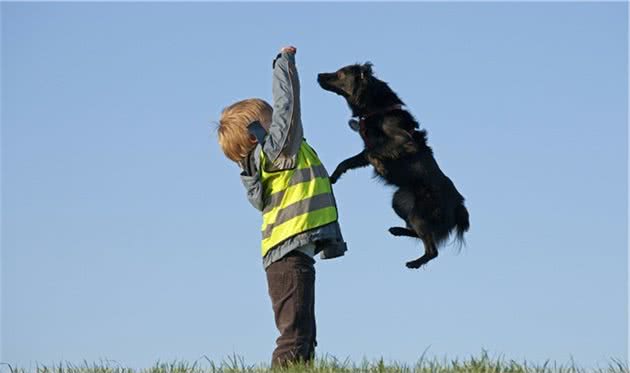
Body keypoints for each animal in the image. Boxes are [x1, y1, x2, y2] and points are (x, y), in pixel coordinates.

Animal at [318, 63, 472, 268]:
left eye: (341, 73)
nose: (318, 75)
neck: (377, 109)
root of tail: (458, 206)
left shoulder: (403, 141)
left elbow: (372, 153)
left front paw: (381, 166)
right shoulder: (366, 149)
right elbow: (347, 161)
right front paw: (333, 177)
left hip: (419, 212)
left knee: (432, 249)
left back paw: (414, 263)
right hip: (400, 201)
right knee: (420, 233)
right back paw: (397, 231)